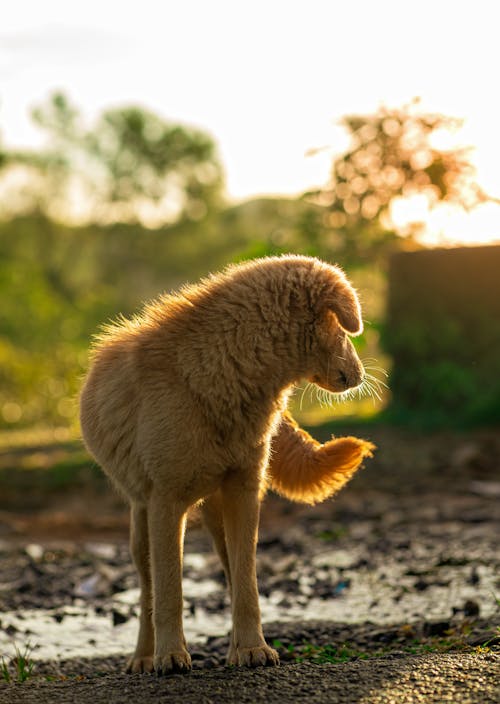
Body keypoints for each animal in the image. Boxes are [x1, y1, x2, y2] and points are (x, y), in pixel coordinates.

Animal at [80, 256, 374, 672]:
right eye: (347, 331)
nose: (362, 376)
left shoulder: (243, 493)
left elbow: (246, 584)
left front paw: (252, 649)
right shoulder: (165, 503)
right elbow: (169, 593)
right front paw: (170, 655)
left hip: (217, 517)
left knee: (231, 576)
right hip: (142, 526)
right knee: (148, 591)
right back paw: (144, 656)